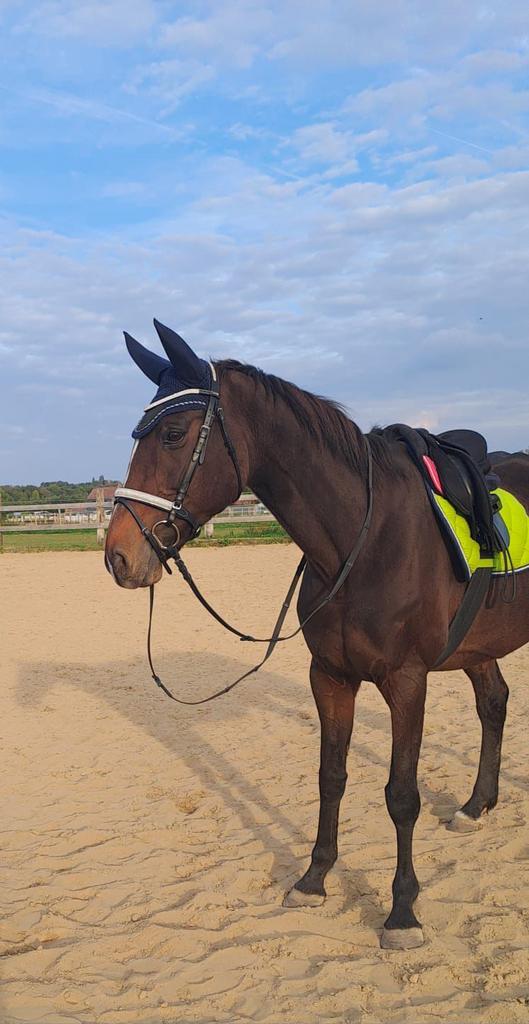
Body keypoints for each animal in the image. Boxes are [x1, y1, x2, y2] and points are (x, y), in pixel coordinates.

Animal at [105, 320, 529, 950]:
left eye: (174, 434)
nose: (119, 556)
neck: (365, 535)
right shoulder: (329, 677)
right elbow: (332, 777)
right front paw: (314, 878)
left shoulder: (407, 682)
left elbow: (401, 795)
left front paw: (402, 911)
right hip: (477, 643)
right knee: (494, 702)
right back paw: (477, 806)